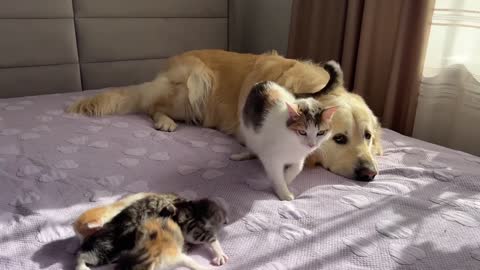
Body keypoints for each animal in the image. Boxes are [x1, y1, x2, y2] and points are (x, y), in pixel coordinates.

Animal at [67, 50, 382, 181]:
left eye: (367, 136)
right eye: (339, 138)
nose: (369, 174)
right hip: (197, 83)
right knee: (152, 106)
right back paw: (165, 121)